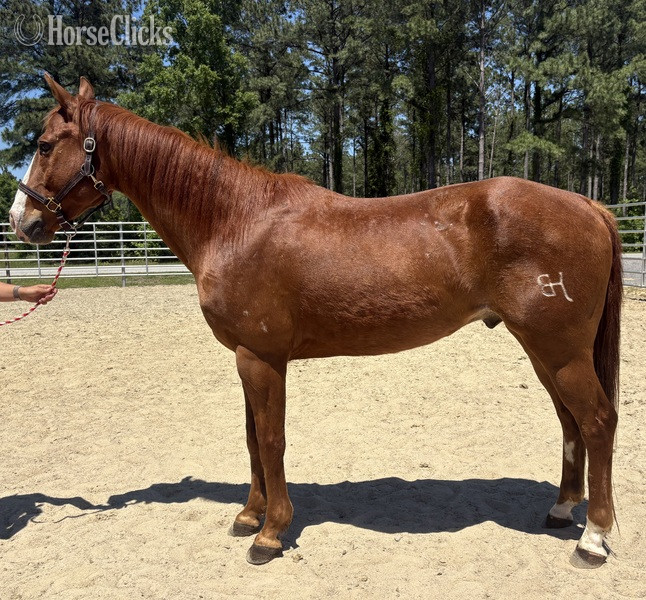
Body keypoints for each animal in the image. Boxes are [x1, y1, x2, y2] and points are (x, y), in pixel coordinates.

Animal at [9, 75, 622, 567]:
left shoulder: (263, 358)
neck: (236, 221)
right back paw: (562, 510)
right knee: (569, 423)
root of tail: (588, 206)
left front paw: (271, 534)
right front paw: (249, 516)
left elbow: (272, 440)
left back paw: (592, 539)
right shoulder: (246, 358)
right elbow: (251, 439)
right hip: (545, 352)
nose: (22, 220)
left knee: (596, 422)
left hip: (560, 351)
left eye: (44, 145)